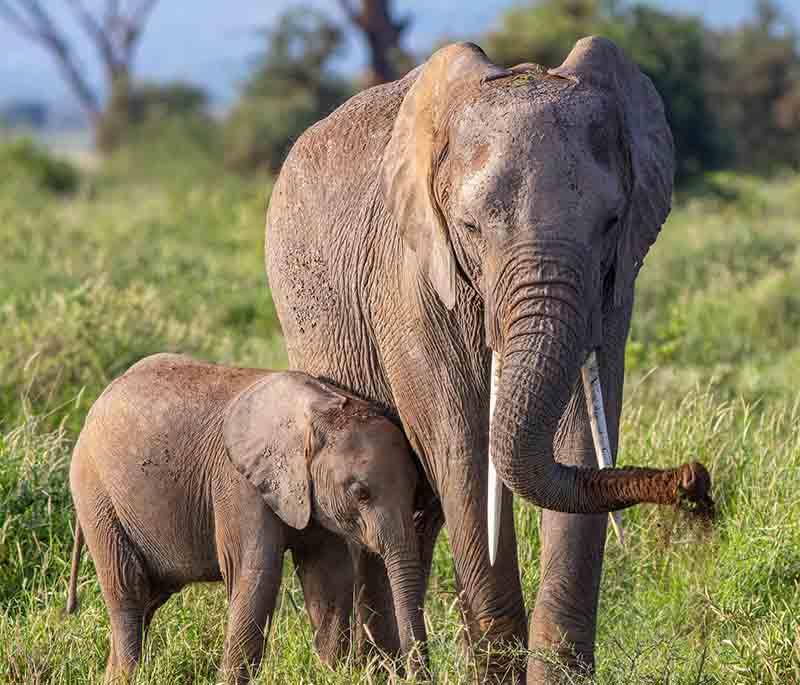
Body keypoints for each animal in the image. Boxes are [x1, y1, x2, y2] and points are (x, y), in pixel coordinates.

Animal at [69, 356, 428, 680]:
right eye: (360, 493)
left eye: (416, 488)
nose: (415, 675)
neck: (321, 409)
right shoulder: (239, 483)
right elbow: (257, 575)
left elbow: (328, 578)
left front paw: (333, 674)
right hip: (96, 494)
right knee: (128, 590)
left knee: (150, 597)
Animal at [266, 36, 708, 680]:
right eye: (470, 227)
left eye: (610, 223)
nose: (694, 479)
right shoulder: (413, 280)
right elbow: (465, 449)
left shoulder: (611, 289)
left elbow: (580, 443)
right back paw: (375, 668)